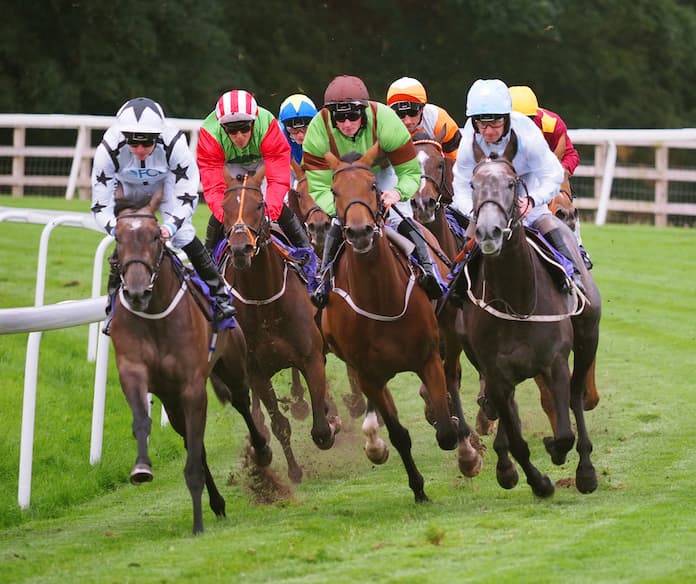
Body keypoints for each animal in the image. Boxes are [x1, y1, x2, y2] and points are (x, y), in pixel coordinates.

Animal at [110, 188, 270, 532]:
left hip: (233, 367)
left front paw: (198, 525)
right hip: (172, 402)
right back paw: (218, 503)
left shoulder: (193, 386)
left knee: (242, 402)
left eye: (155, 236)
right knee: (194, 443)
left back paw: (263, 450)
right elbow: (144, 421)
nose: (137, 292)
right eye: (118, 237)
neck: (155, 316)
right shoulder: (135, 372)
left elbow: (197, 453)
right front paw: (141, 467)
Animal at [218, 165, 338, 484]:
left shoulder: (311, 357)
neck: (264, 301)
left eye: (259, 205)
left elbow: (322, 430)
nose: (241, 249)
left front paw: (331, 418)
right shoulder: (256, 372)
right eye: (225, 207)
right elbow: (279, 424)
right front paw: (293, 470)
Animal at [322, 143, 482, 502]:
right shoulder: (367, 374)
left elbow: (447, 430)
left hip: (448, 330)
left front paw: (465, 450)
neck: (380, 299)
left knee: (453, 377)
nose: (359, 232)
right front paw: (418, 487)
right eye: (335, 191)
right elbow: (398, 434)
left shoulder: (428, 358)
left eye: (372, 186)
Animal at [460, 139, 600, 496]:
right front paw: (535, 481)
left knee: (576, 396)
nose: (489, 231)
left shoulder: (555, 363)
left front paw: (560, 453)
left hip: (587, 337)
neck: (518, 302)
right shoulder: (496, 375)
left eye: (512, 184)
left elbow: (563, 431)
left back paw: (585, 469)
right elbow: (517, 441)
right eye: (473, 185)